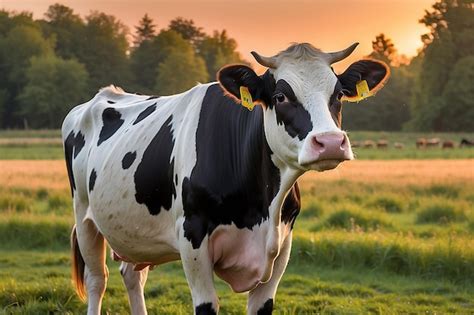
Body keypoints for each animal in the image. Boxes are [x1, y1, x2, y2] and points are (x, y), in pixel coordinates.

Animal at [63, 42, 388, 315]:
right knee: (97, 280)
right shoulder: (192, 235)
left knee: (132, 275)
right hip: (84, 216)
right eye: (281, 96)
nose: (330, 142)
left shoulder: (282, 243)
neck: (260, 208)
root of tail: (102, 95)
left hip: (137, 231)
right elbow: (207, 305)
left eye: (338, 95)